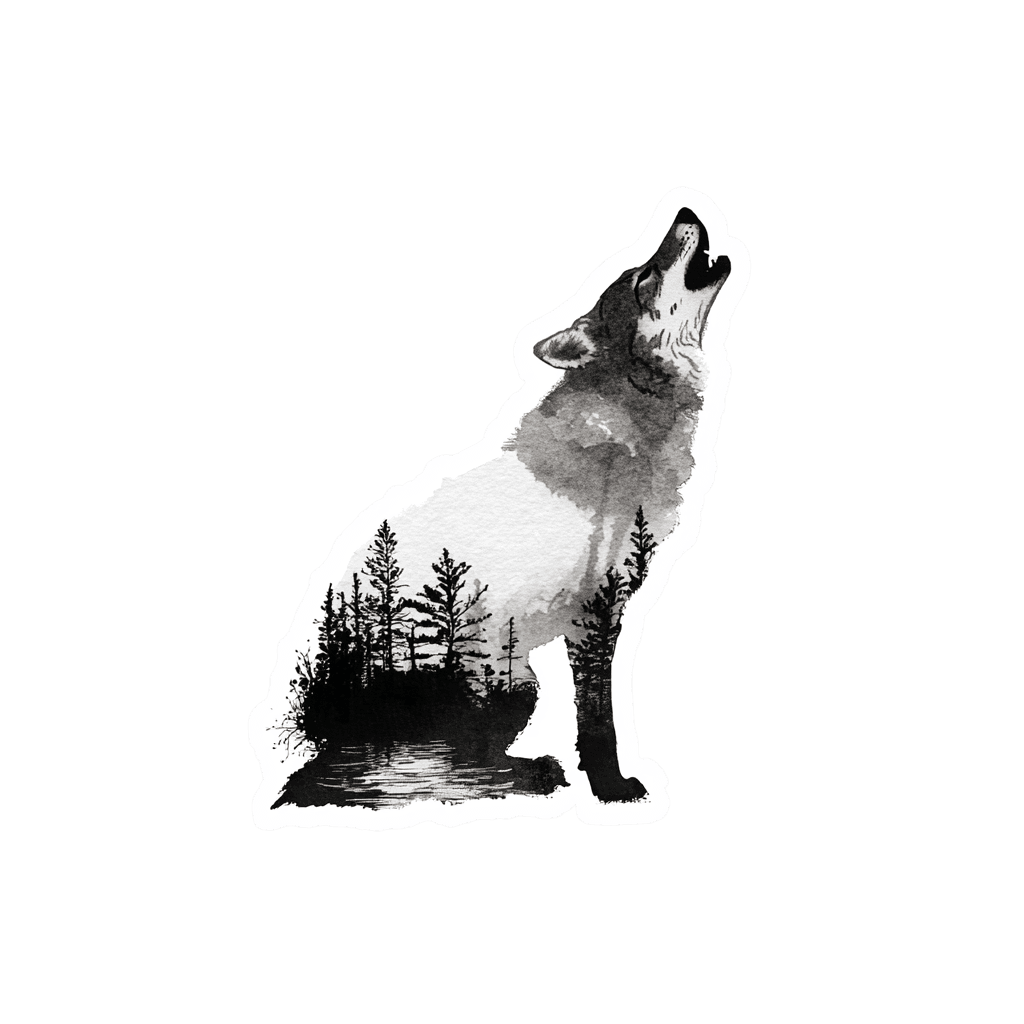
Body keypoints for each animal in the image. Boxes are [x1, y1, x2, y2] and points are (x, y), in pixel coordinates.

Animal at [250, 188, 750, 830]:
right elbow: (600, 719)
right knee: (452, 765)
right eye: (643, 278)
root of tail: (318, 725)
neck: (629, 417)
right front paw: (611, 789)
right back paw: (535, 775)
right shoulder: (595, 613)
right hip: (509, 678)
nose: (686, 209)